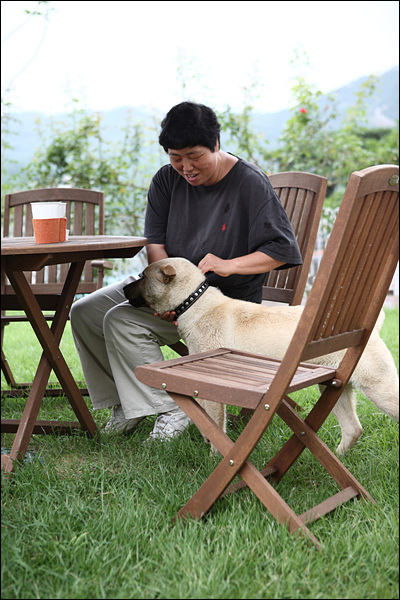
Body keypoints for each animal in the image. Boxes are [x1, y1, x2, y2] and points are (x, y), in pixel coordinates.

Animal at [126, 258, 400, 454]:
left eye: (143, 277)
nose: (124, 288)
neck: (194, 302)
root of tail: (372, 329)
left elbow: (215, 426)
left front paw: (214, 457)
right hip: (334, 388)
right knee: (353, 429)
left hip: (379, 390)